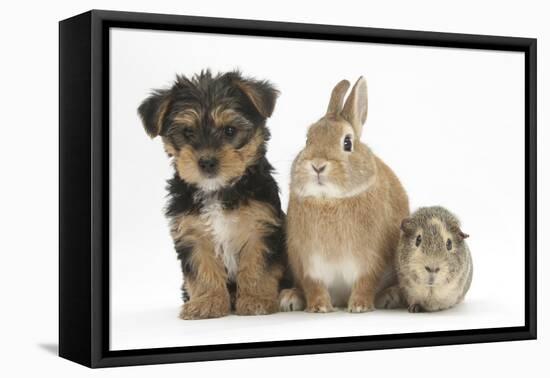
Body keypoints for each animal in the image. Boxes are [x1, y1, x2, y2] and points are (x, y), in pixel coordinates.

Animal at [139, 69, 288, 318]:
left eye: (229, 131)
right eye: (188, 132)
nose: (207, 161)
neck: (217, 189)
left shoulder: (260, 226)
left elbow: (256, 265)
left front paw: (256, 299)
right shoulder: (192, 233)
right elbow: (203, 269)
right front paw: (207, 302)